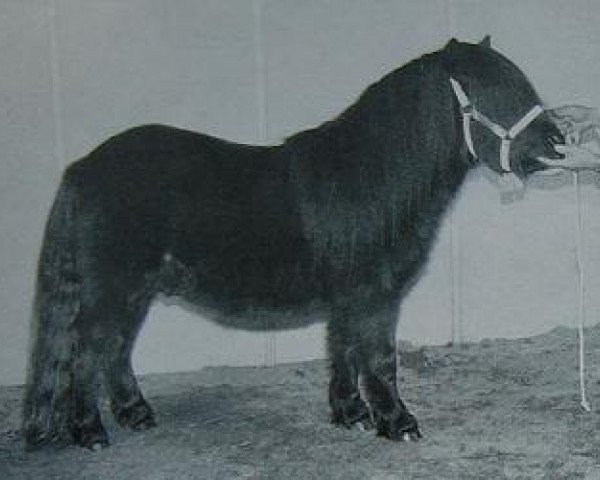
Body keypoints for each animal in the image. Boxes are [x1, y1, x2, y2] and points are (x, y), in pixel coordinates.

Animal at [24, 37, 568, 450]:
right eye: (497, 91)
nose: (558, 143)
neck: (374, 178)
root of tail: (81, 169)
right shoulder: (374, 297)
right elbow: (378, 358)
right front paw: (398, 424)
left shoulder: (349, 298)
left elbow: (343, 350)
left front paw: (351, 415)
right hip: (111, 291)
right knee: (86, 356)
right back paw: (91, 433)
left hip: (132, 292)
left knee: (114, 351)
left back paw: (136, 414)